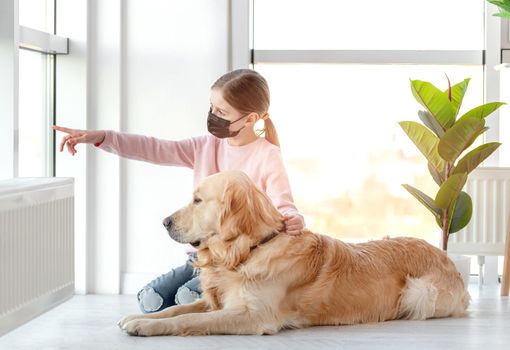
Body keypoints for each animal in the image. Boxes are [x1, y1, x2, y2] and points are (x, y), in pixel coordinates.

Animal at [117, 170, 468, 336]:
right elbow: (177, 310)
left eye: (198, 200)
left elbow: (187, 320)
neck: (248, 251)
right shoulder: (217, 301)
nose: (164, 222)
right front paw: (139, 317)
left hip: (419, 293)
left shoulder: (254, 315)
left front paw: (145, 327)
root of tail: (449, 260)